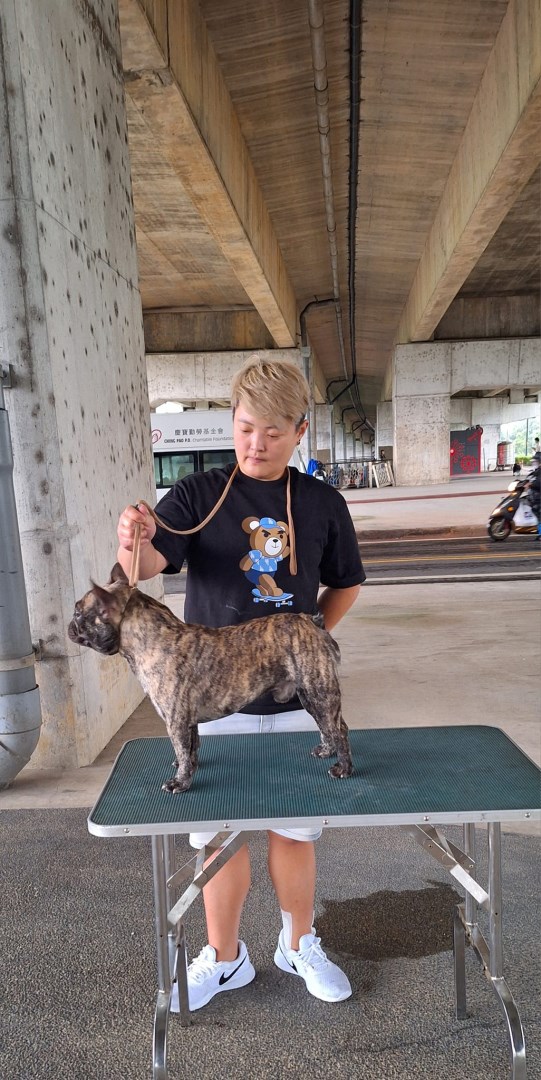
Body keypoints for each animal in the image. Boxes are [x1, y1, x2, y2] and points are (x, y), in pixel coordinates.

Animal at [68, 564, 353, 792]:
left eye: (79, 613)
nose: (70, 626)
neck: (152, 638)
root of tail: (311, 622)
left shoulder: (176, 721)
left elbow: (182, 749)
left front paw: (180, 782)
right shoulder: (187, 721)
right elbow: (191, 748)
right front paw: (187, 767)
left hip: (319, 692)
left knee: (338, 729)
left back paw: (344, 768)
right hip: (309, 695)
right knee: (327, 726)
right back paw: (327, 751)